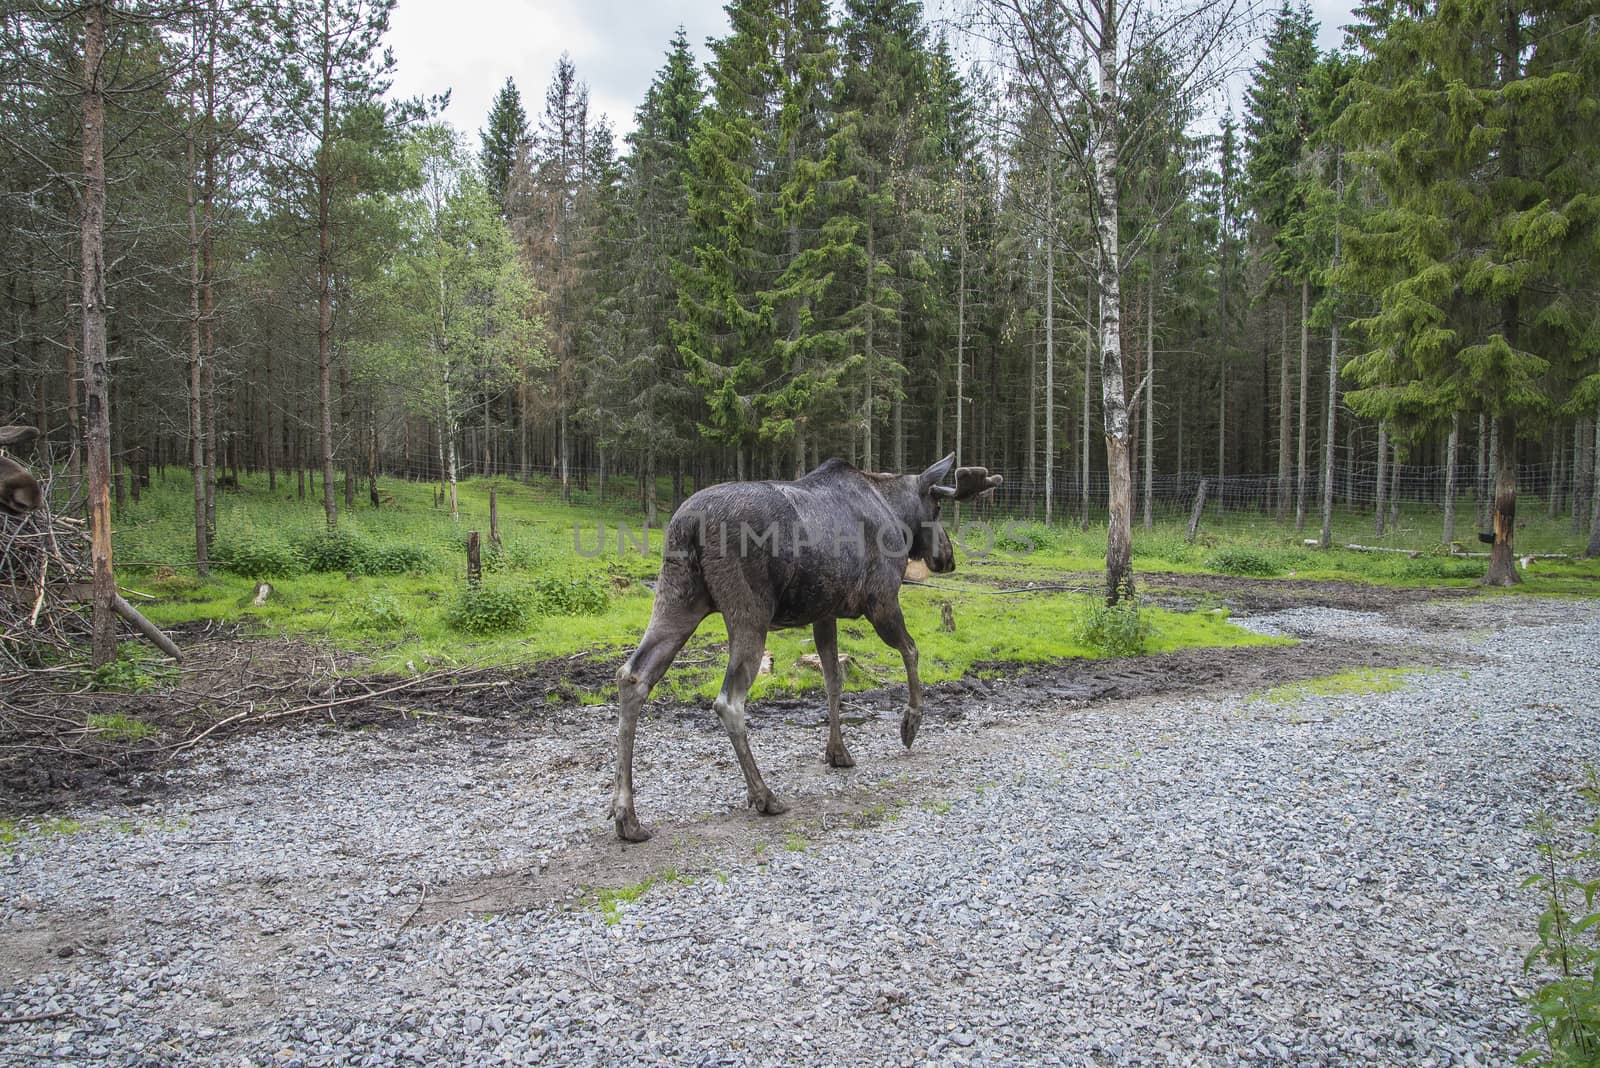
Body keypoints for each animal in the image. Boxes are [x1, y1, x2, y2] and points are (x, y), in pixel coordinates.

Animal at [608, 450, 998, 844]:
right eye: (937, 507)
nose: (948, 558)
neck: (894, 509)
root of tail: (687, 524)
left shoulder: (824, 613)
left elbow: (833, 680)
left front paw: (838, 751)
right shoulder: (882, 600)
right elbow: (912, 651)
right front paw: (910, 724)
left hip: (678, 597)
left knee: (632, 676)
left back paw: (627, 816)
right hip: (749, 611)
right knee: (728, 701)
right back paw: (763, 795)